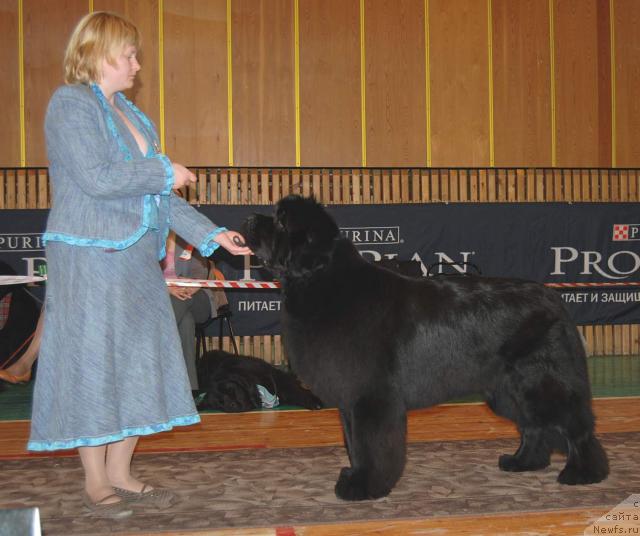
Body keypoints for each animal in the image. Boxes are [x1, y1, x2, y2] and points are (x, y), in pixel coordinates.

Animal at [196, 350, 324, 412]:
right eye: (220, 403)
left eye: (231, 390)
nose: (232, 404)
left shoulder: (278, 379)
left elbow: (297, 391)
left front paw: (314, 400)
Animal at [241, 195, 608, 500]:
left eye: (281, 220)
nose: (248, 218)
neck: (322, 280)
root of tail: (554, 298)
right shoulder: (351, 401)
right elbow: (354, 444)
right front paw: (357, 478)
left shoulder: (372, 397)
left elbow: (371, 446)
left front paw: (365, 486)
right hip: (508, 391)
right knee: (534, 426)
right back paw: (523, 462)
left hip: (543, 382)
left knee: (576, 426)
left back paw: (584, 473)